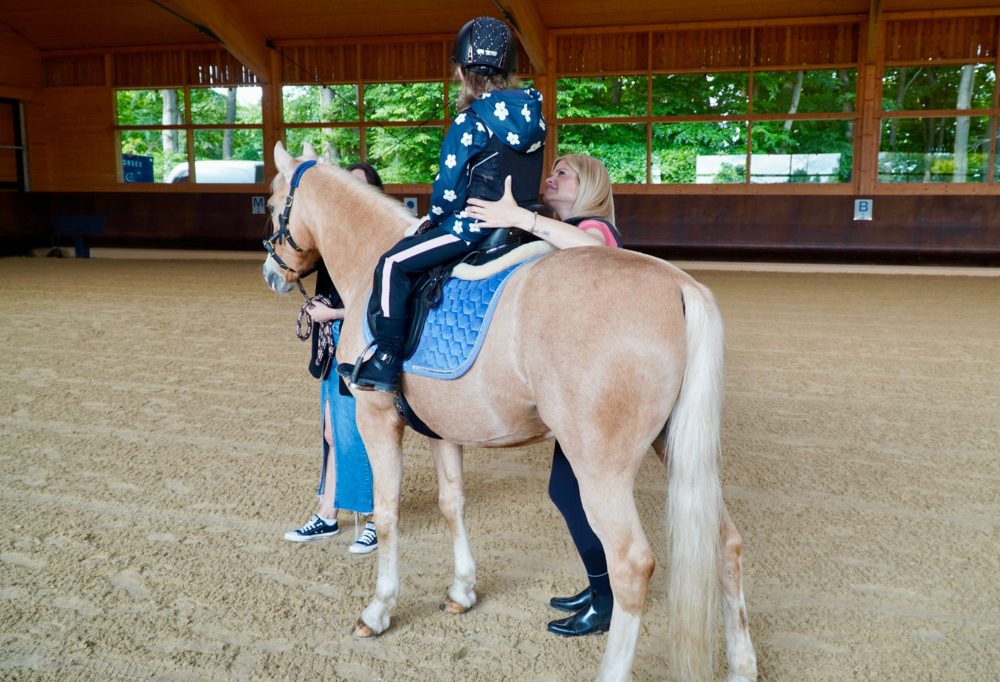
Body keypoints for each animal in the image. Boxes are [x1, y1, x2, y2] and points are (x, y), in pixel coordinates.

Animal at [262, 141, 758, 682]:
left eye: (271, 203)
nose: (271, 273)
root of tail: (678, 285)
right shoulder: (441, 429)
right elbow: (452, 503)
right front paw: (461, 591)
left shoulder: (377, 418)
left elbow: (388, 512)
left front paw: (378, 611)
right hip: (677, 450)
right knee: (725, 543)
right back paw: (742, 665)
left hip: (600, 469)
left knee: (631, 563)